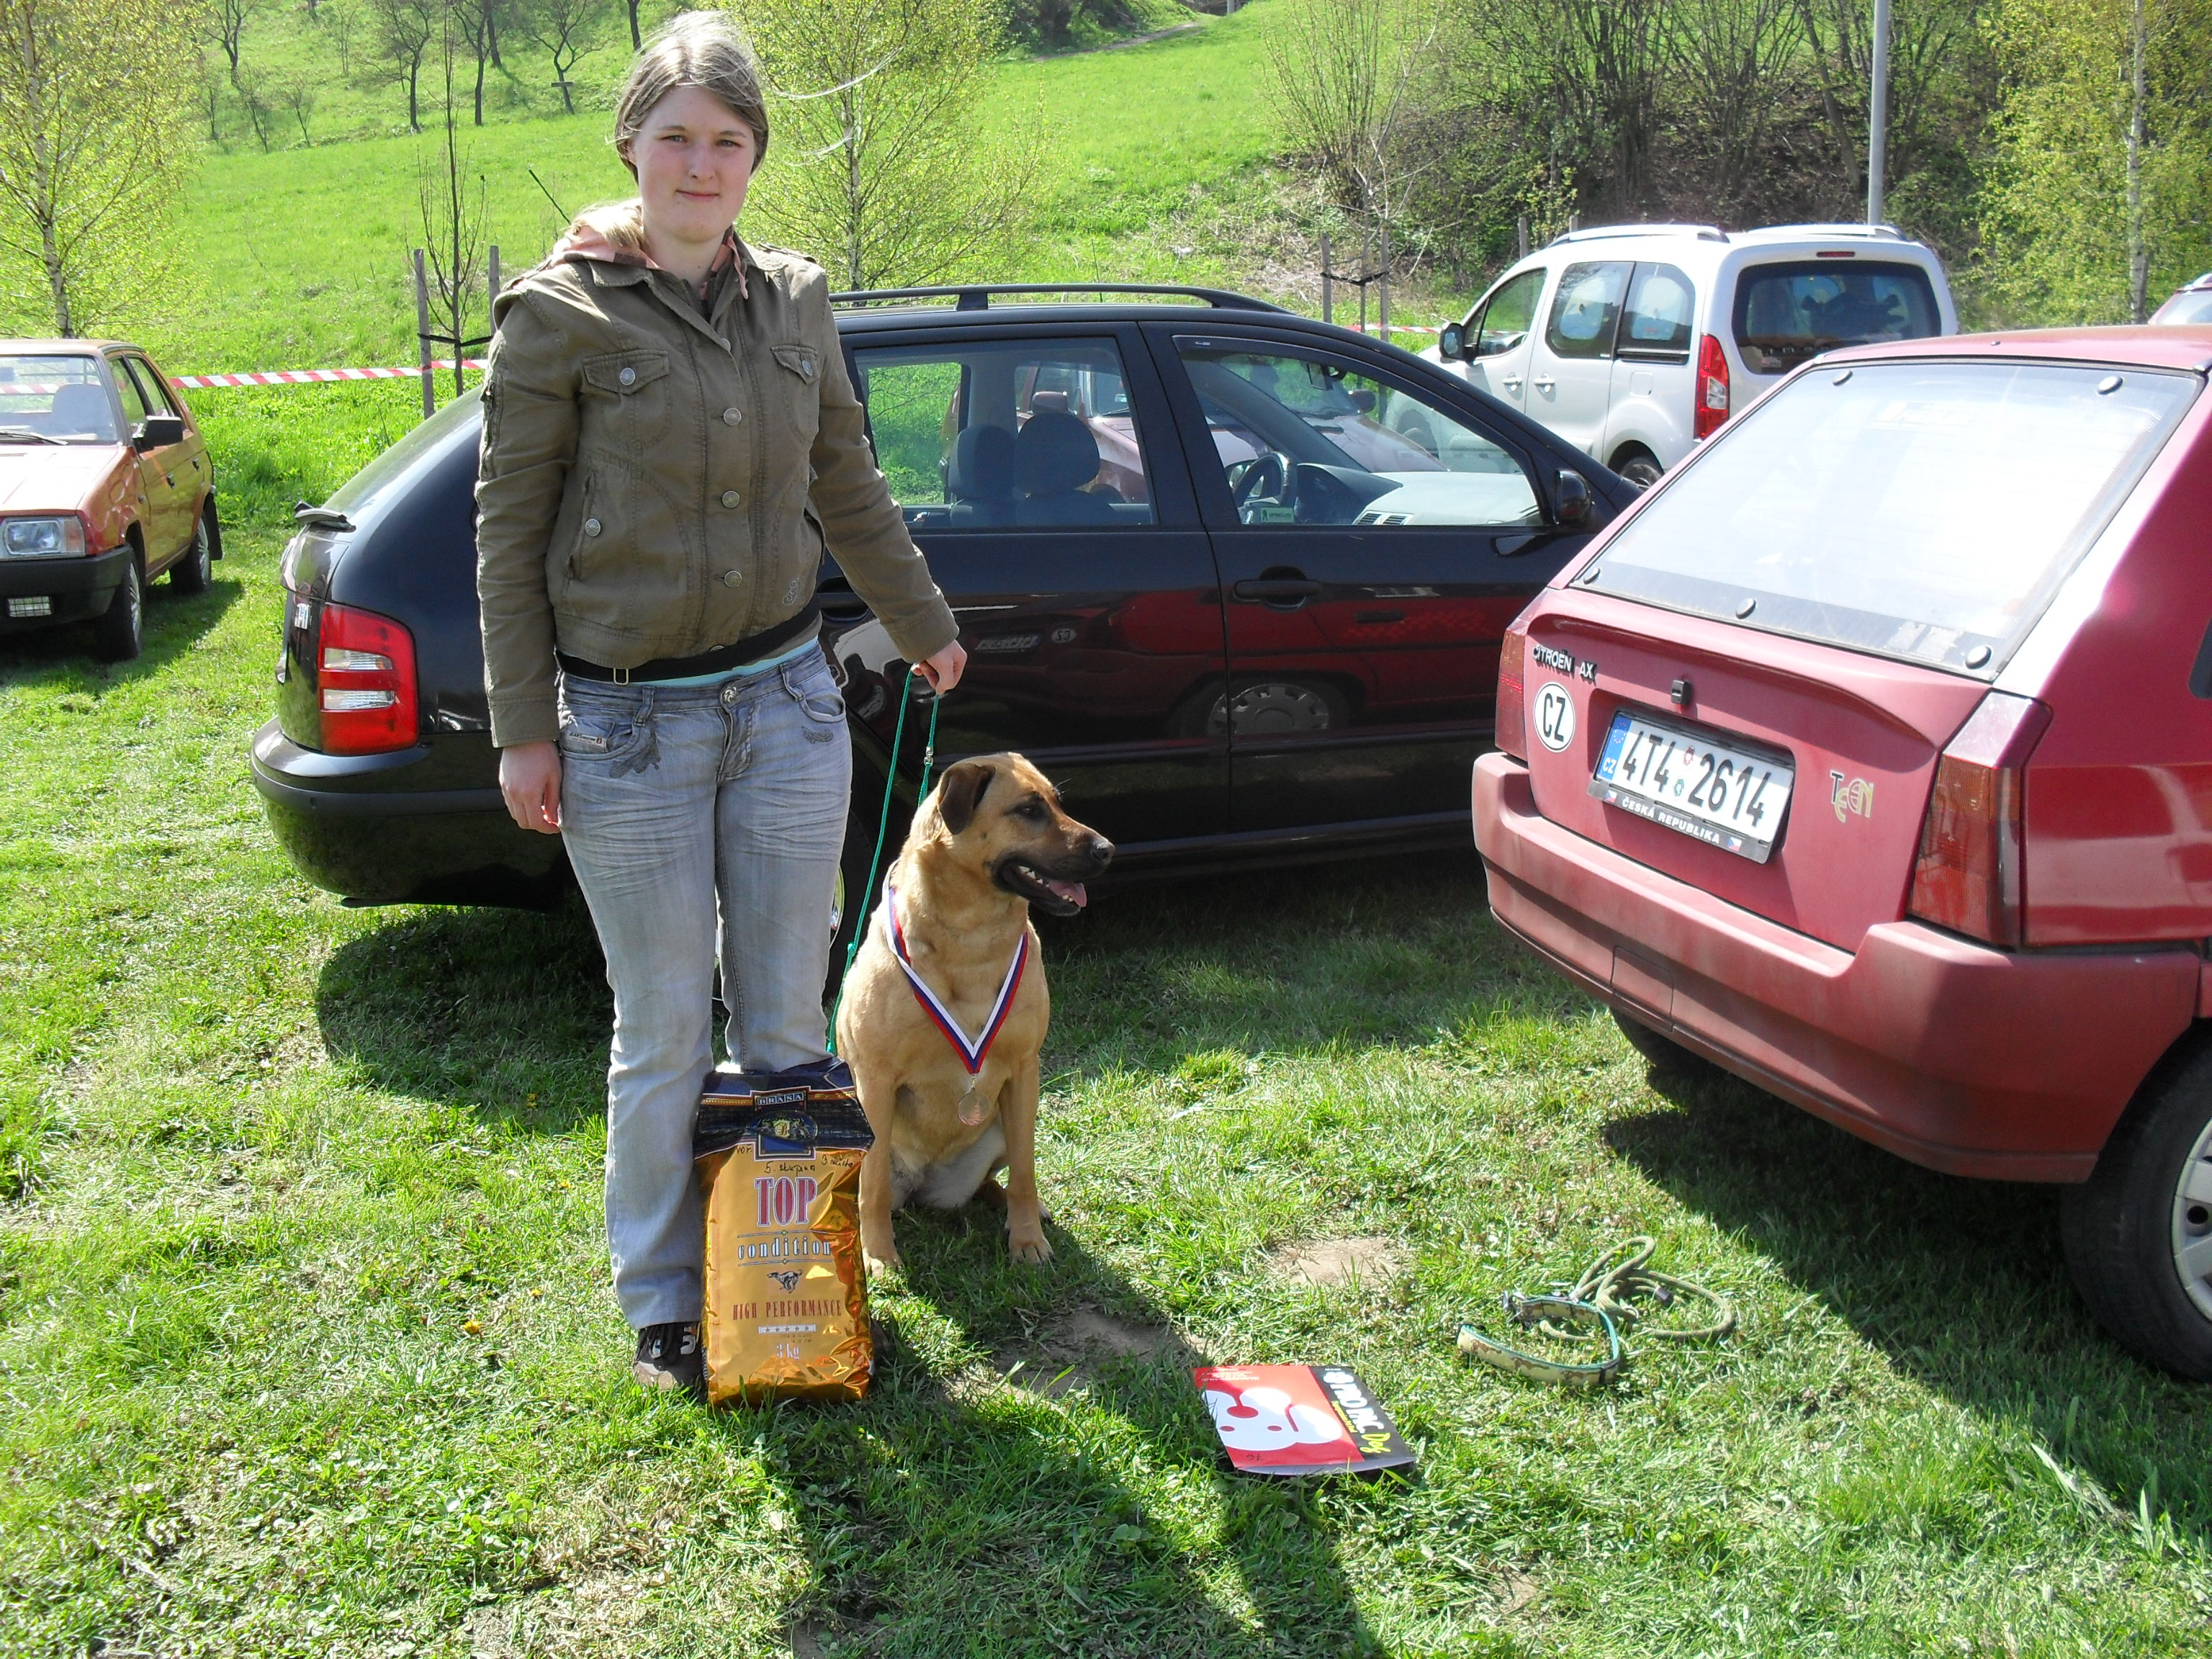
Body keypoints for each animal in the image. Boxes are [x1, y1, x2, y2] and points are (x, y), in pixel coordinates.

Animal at [832, 752, 1106, 1274]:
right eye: (1028, 810)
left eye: (1058, 803)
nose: (1108, 850)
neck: (972, 940)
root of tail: (921, 1182)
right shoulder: (875, 1080)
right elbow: (871, 1187)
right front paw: (878, 1255)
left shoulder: (1024, 1071)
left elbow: (1025, 1172)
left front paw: (1028, 1239)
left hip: (1000, 1127)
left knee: (997, 1179)